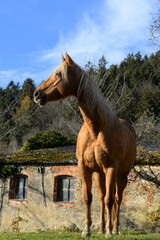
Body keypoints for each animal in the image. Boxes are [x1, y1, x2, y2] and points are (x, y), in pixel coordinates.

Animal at [33, 52, 136, 238]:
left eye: (58, 73)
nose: (37, 94)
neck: (95, 129)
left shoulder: (111, 168)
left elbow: (110, 200)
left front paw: (109, 232)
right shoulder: (84, 168)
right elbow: (88, 198)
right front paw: (87, 230)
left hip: (121, 175)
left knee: (116, 199)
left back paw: (115, 229)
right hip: (99, 174)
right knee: (102, 198)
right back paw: (101, 228)